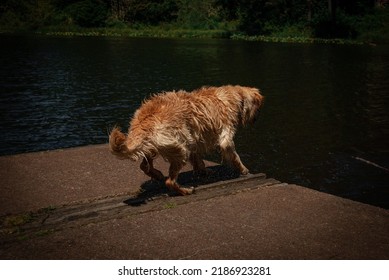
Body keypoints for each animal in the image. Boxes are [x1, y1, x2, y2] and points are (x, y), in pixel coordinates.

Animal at [108, 85, 264, 195]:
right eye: (258, 109)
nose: (256, 119)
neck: (234, 97)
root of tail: (145, 119)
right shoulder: (226, 137)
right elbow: (234, 156)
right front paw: (243, 170)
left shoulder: (194, 140)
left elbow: (198, 160)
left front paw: (203, 171)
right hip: (180, 149)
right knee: (170, 182)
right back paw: (185, 190)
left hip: (155, 145)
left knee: (145, 166)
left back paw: (158, 175)